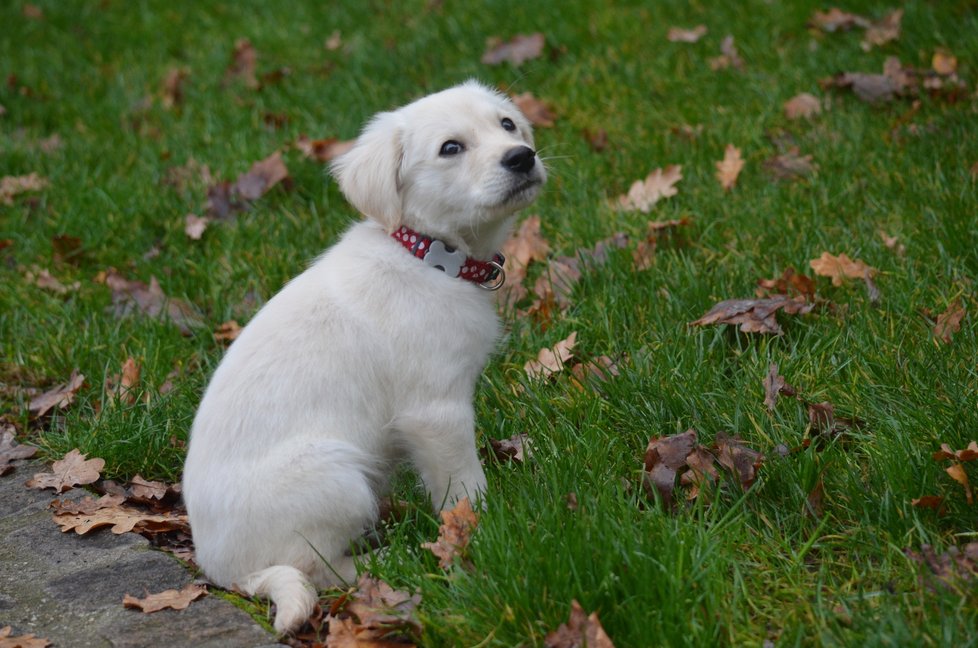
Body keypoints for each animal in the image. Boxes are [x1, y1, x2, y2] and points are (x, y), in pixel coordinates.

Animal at [182, 81, 544, 632]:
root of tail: (219, 571)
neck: (427, 256)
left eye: (506, 125)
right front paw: (486, 527)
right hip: (339, 478)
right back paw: (390, 558)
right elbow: (464, 485)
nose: (522, 156)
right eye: (451, 148)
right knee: (317, 566)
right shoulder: (435, 412)